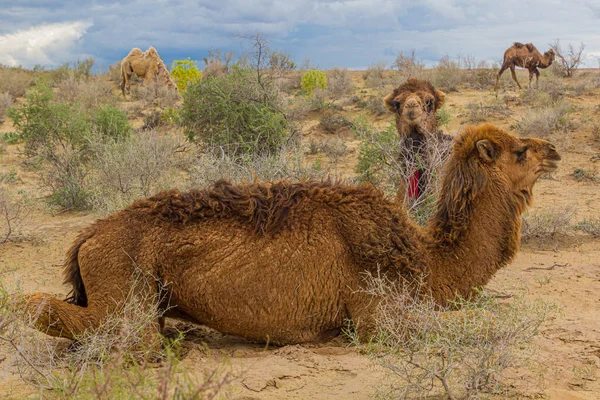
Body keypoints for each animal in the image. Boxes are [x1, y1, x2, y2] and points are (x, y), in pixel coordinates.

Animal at [25, 123, 564, 346]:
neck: (428, 260)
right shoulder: (378, 316)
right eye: (519, 151)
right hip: (123, 287)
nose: (554, 150)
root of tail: (87, 237)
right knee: (58, 313)